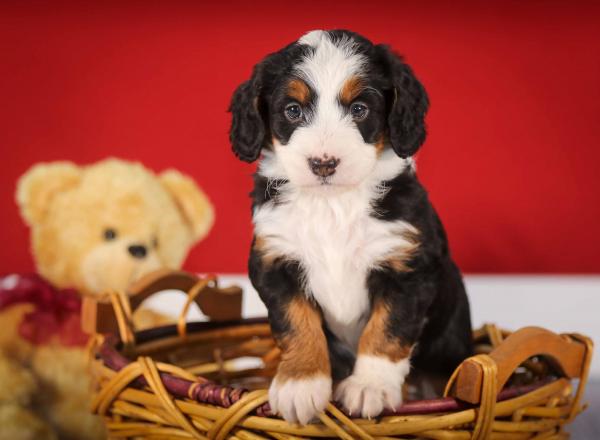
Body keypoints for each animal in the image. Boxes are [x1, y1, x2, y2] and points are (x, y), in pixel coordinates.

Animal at [227, 30, 472, 422]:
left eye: (359, 108)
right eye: (292, 110)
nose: (323, 163)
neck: (332, 204)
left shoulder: (408, 268)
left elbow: (387, 330)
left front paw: (369, 387)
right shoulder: (275, 261)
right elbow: (296, 324)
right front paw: (300, 385)